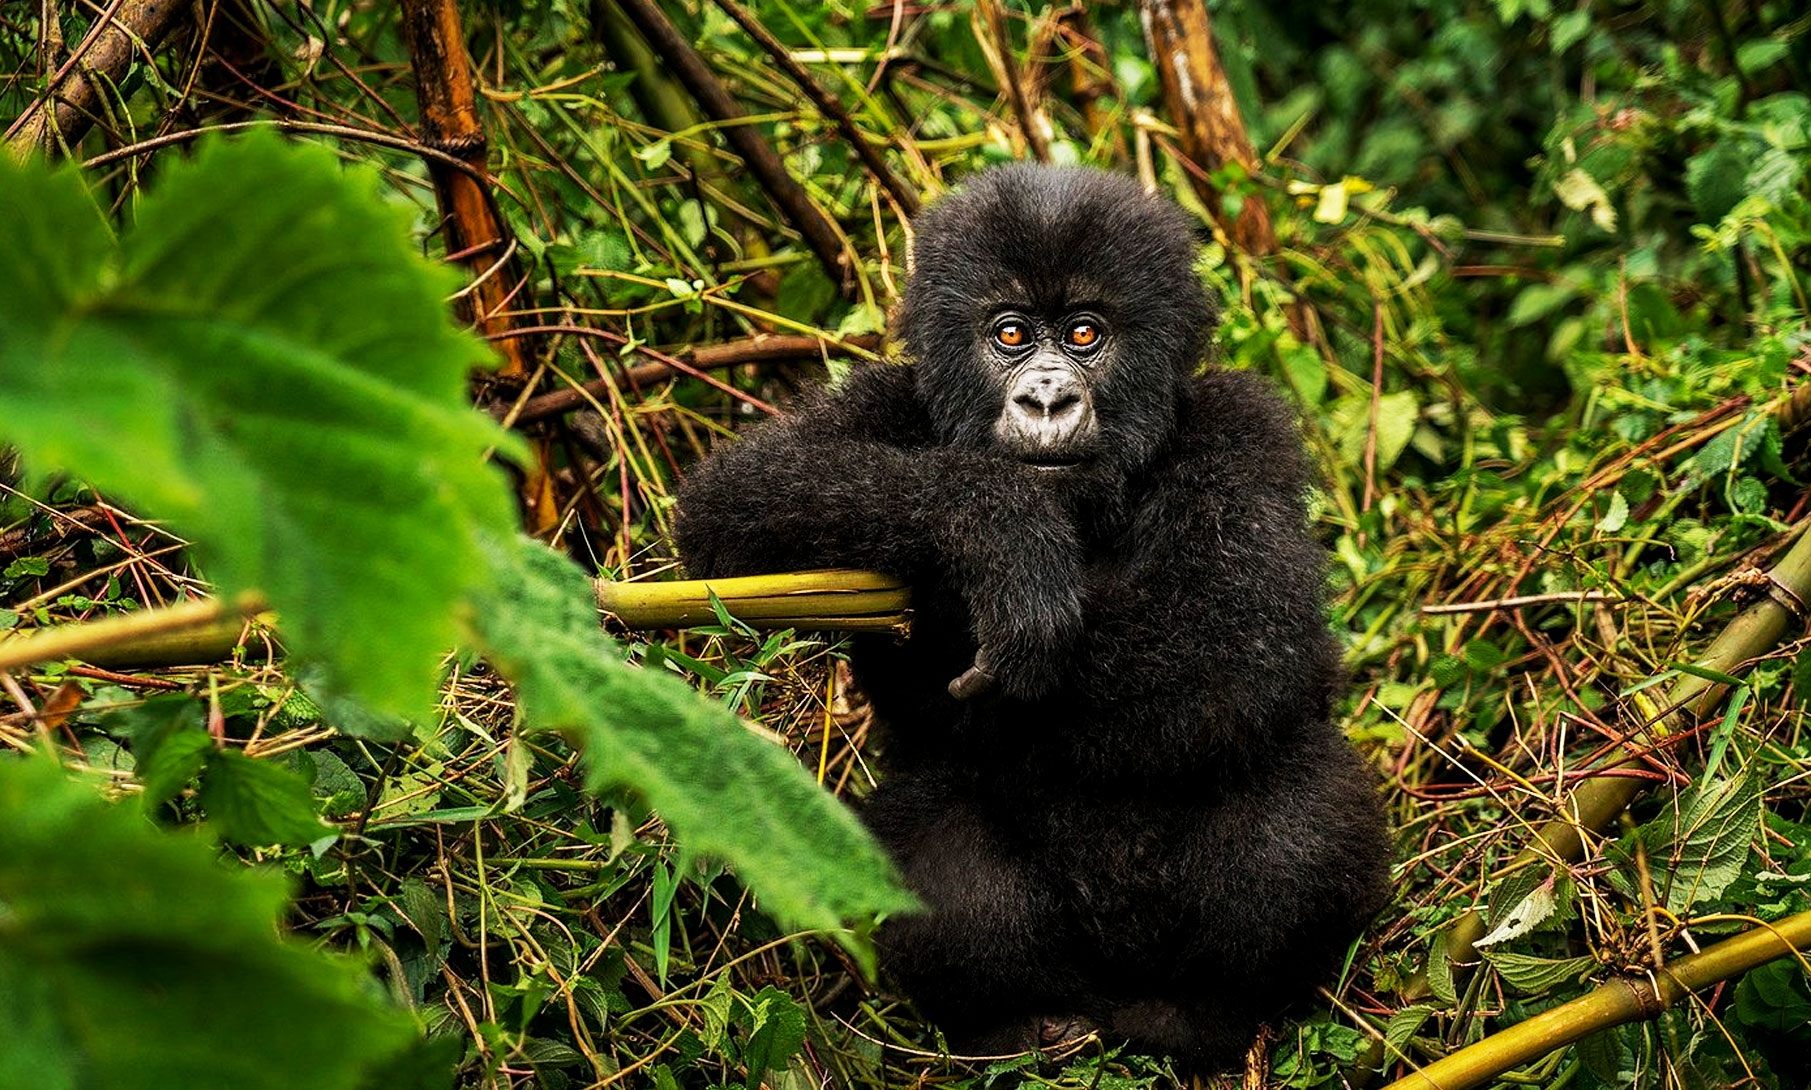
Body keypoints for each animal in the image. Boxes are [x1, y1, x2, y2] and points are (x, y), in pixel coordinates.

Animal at [674, 164, 1391, 1069]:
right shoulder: (884, 399)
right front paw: (997, 535)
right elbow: (731, 513)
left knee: (1297, 795)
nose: (1046, 397)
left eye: (1084, 334)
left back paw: (1203, 1014)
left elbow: (1234, 635)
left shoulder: (1242, 429)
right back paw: (1014, 1022)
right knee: (929, 828)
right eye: (1010, 334)